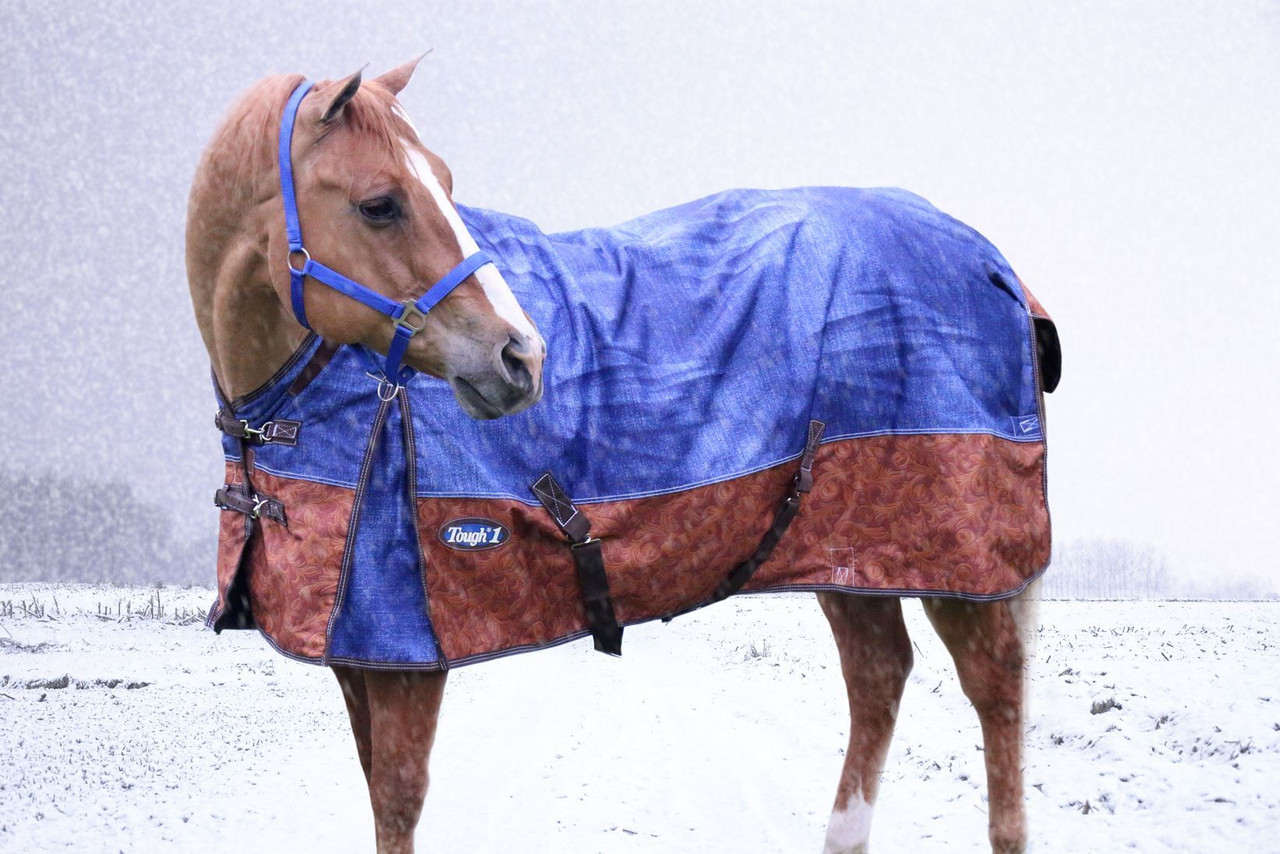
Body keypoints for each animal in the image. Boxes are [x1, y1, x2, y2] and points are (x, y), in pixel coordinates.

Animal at [187, 58, 1056, 854]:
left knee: (995, 689)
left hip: (957, 557)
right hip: (848, 552)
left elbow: (397, 801)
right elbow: (376, 790)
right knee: (879, 675)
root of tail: (990, 262)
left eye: (444, 184)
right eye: (379, 205)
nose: (521, 357)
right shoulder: (356, 655)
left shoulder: (407, 655)